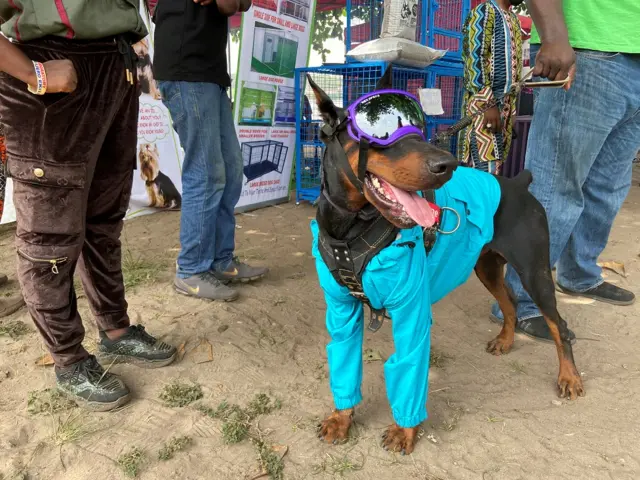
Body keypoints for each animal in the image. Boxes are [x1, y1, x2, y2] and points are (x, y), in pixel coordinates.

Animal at [308, 66, 584, 454]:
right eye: (381, 131)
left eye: (417, 125)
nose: (447, 164)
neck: (350, 228)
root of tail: (518, 183)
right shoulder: (340, 309)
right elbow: (344, 362)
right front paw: (340, 418)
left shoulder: (412, 310)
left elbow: (409, 370)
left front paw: (404, 432)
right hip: (486, 266)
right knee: (511, 302)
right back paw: (505, 341)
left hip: (535, 270)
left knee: (559, 324)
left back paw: (570, 377)